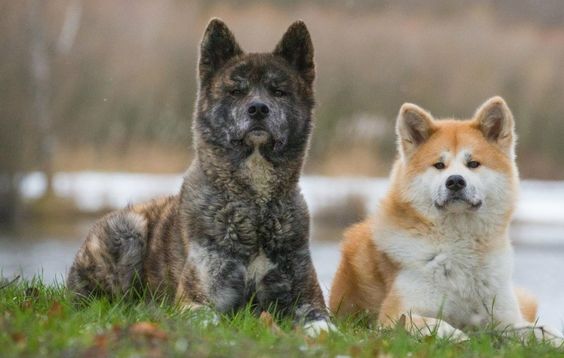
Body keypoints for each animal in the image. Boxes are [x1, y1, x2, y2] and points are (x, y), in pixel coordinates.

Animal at [66, 18, 332, 332]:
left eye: (278, 91)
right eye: (236, 92)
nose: (258, 108)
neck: (254, 207)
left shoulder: (307, 296)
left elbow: (323, 324)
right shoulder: (196, 299)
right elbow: (211, 319)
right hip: (125, 228)